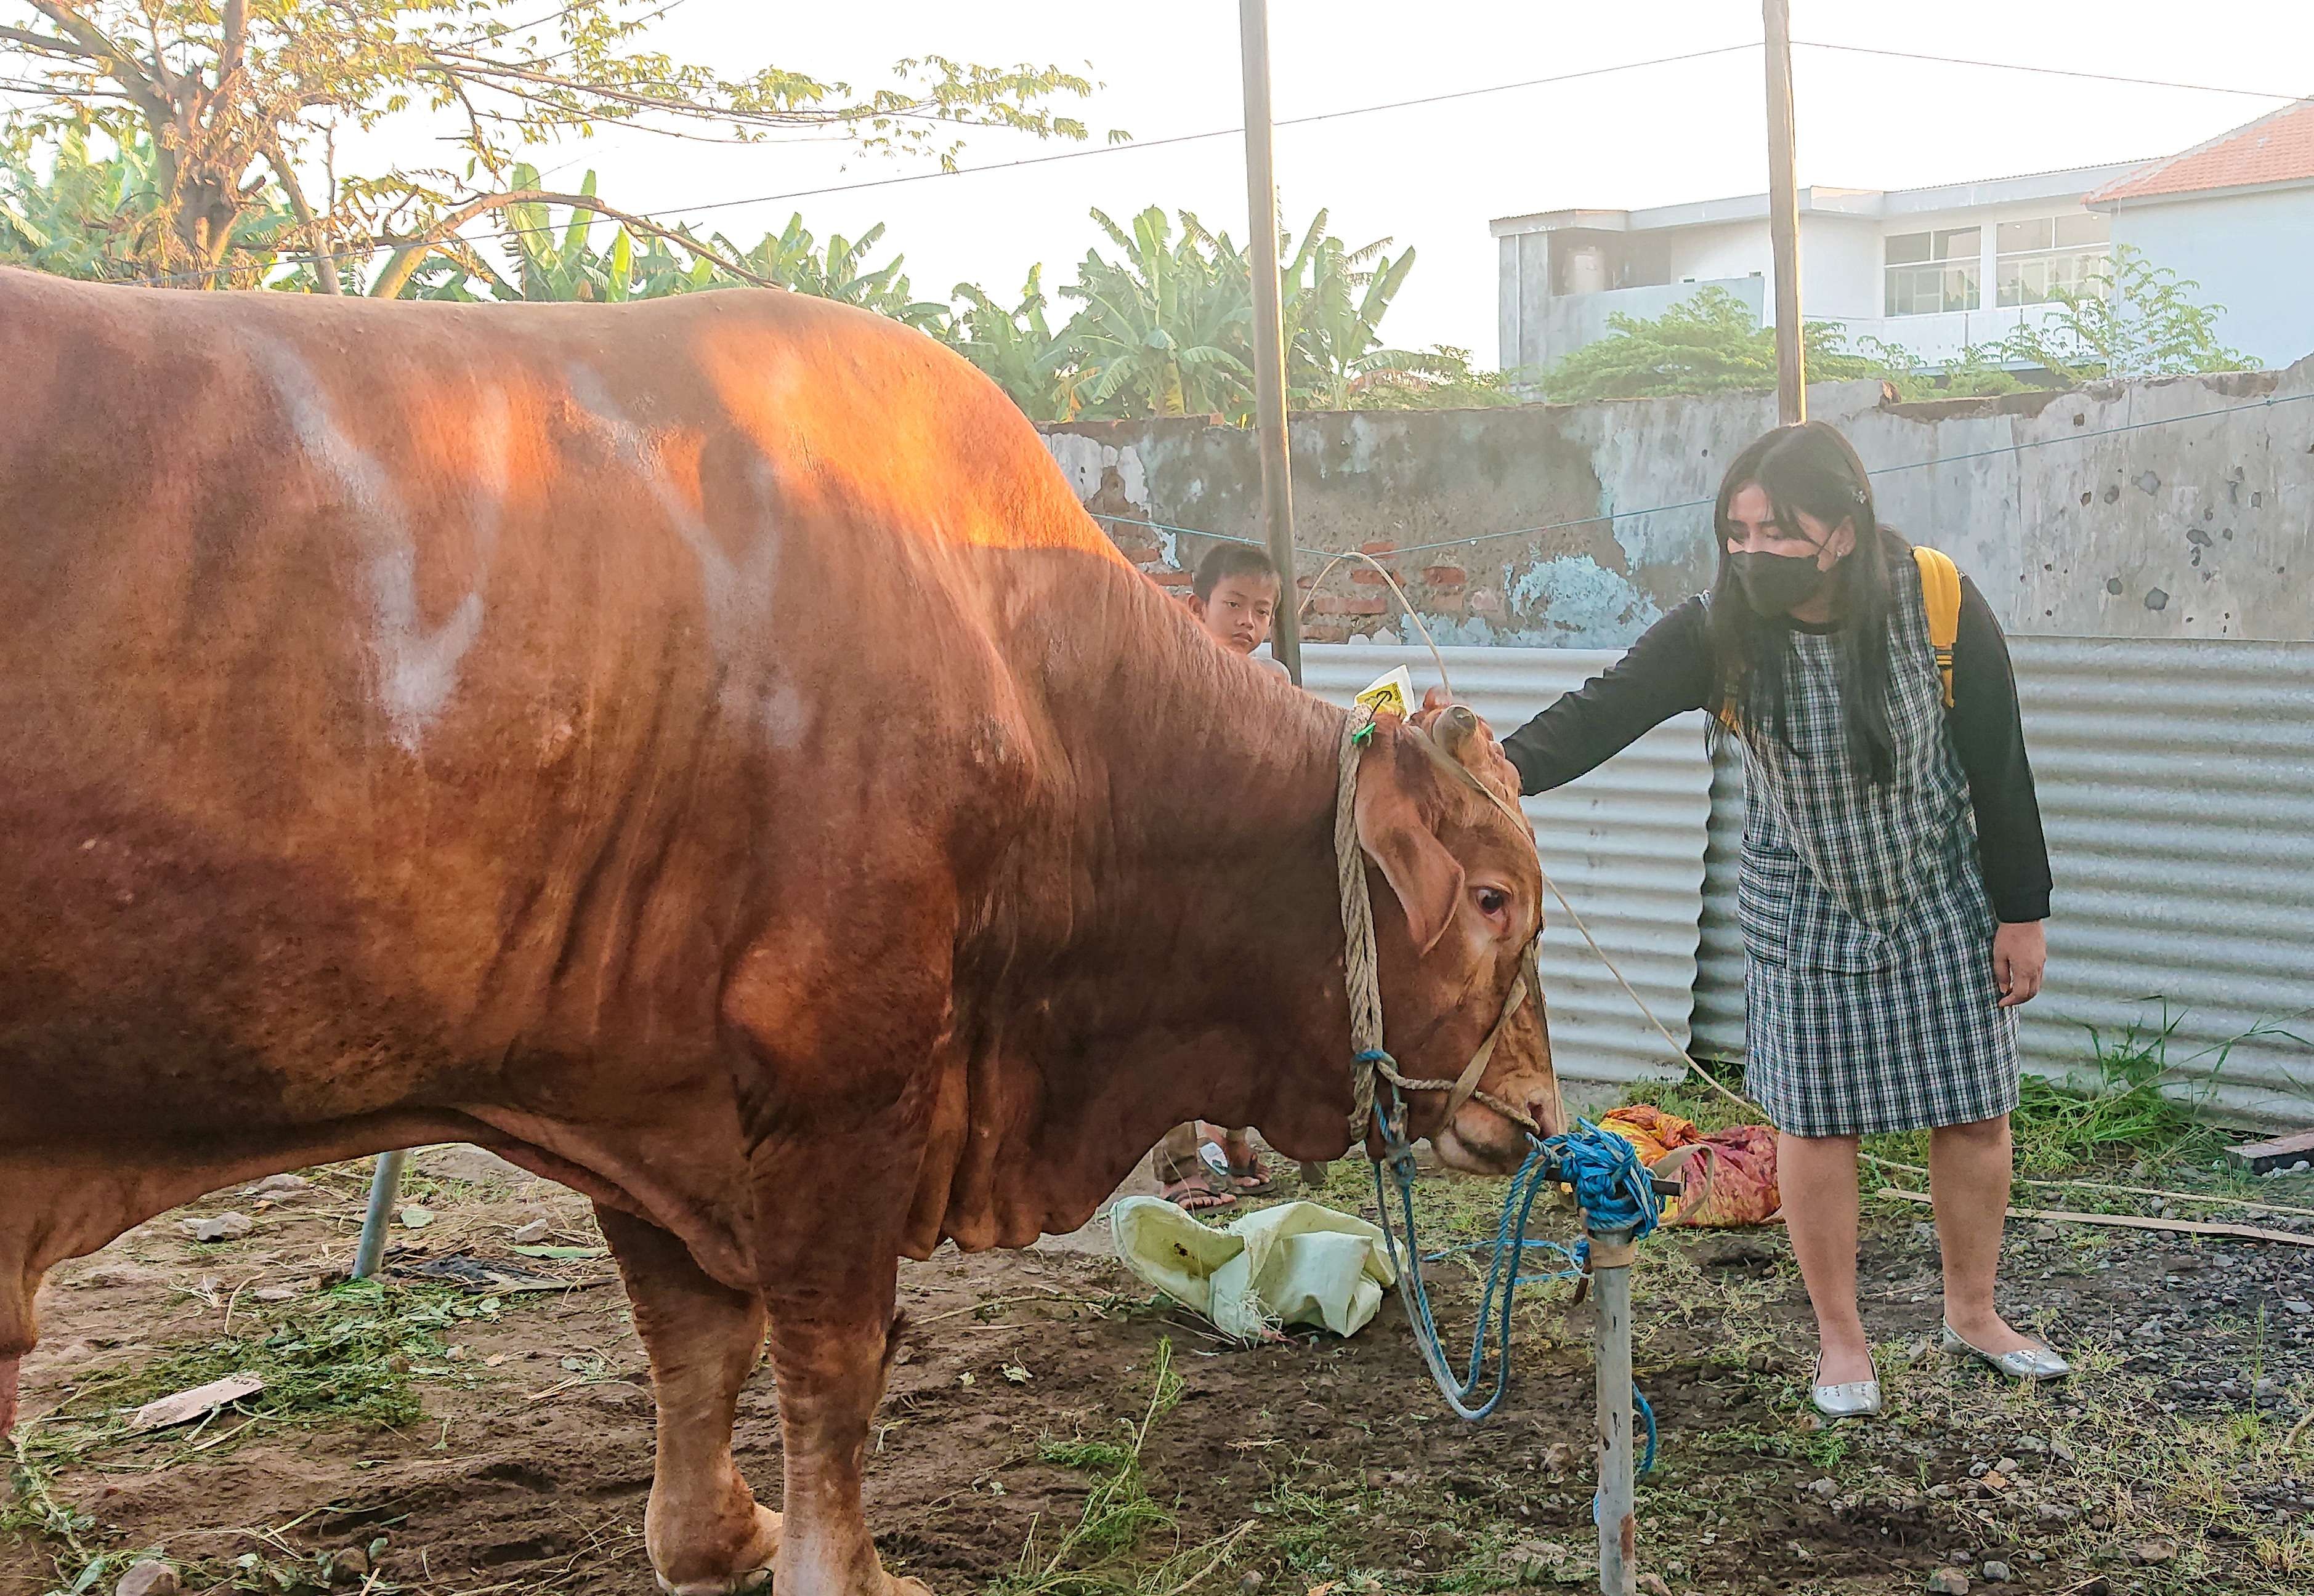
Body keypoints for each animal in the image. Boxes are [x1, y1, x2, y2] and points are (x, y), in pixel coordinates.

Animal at [0, 270, 1564, 1591]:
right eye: (1492, 899)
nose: (1541, 1113)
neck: (1027, 673)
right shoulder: (840, 1074)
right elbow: (832, 1356)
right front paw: (841, 1564)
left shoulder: (640, 1092)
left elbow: (696, 1342)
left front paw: (713, 1535)